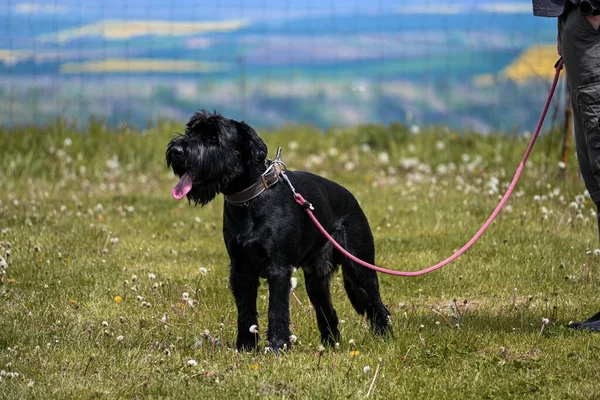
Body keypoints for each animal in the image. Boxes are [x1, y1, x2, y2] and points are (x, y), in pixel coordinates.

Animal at [166, 110, 392, 350]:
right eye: (191, 130)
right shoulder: (240, 268)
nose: (177, 150)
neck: (250, 199)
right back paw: (330, 346)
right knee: (328, 311)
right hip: (316, 279)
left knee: (378, 306)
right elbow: (245, 311)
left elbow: (277, 309)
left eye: (213, 137)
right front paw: (245, 346)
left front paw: (277, 345)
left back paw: (384, 340)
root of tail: (354, 200)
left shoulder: (278, 268)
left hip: (359, 269)